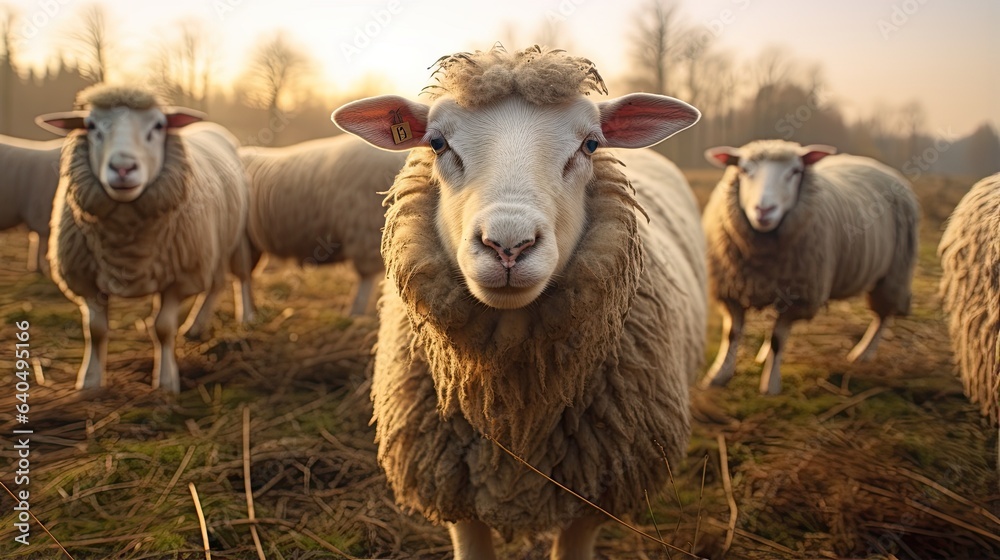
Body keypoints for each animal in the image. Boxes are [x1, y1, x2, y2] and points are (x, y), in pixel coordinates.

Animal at [37, 85, 255, 393]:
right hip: (213, 245)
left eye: (158, 126)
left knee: (241, 277)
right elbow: (95, 331)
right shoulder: (87, 280)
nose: (123, 167)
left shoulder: (178, 279)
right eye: (91, 126)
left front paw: (166, 382)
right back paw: (196, 327)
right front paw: (90, 381)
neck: (126, 242)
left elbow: (163, 329)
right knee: (216, 284)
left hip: (235, 237)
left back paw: (246, 318)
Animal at [239, 135, 408, 316]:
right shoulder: (364, 236)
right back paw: (247, 316)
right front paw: (354, 313)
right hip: (241, 243)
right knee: (243, 279)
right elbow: (366, 281)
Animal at [333, 45, 705, 559]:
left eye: (591, 145)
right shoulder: (455, 491)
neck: (513, 412)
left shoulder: (594, 496)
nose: (508, 245)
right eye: (437, 143)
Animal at [700, 139, 920, 395]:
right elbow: (731, 335)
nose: (764, 210)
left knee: (882, 317)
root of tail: (877, 165)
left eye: (796, 171)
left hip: (894, 272)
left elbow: (778, 340)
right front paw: (717, 376)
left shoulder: (801, 296)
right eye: (744, 170)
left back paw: (863, 353)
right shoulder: (731, 289)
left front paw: (770, 385)